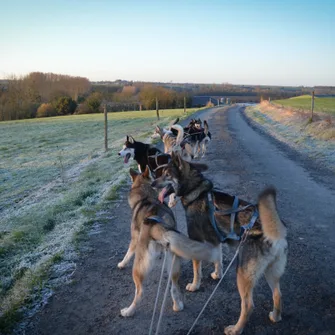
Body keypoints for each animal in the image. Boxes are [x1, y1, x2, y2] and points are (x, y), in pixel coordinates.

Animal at [119, 167, 223, 318]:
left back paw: (128, 311)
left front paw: (121, 264)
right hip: (173, 264)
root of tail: (157, 227)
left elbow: (127, 253)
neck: (146, 196)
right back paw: (177, 305)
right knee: (173, 287)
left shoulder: (134, 239)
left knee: (140, 292)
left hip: (138, 269)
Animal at [152, 152, 288, 335]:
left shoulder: (196, 240)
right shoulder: (215, 240)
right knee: (278, 295)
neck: (196, 192)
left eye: (166, 174)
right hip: (271, 272)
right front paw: (217, 274)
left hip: (243, 274)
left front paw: (195, 285)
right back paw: (275, 316)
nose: (152, 183)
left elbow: (197, 270)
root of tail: (276, 233)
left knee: (248, 305)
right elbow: (218, 259)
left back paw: (236, 329)